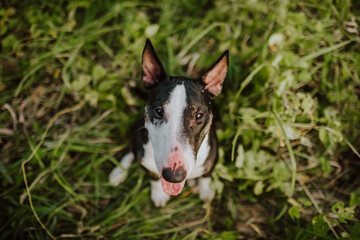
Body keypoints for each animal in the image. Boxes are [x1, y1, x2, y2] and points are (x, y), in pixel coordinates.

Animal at [108, 39, 229, 206]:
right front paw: (159, 194)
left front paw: (206, 191)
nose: (174, 176)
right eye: (159, 111)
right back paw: (119, 172)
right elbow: (154, 178)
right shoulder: (148, 165)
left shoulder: (212, 158)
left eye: (199, 115)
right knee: (130, 150)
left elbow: (206, 176)